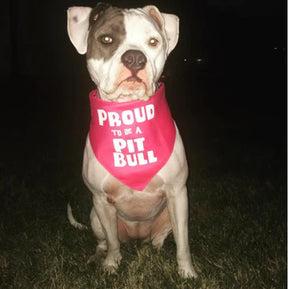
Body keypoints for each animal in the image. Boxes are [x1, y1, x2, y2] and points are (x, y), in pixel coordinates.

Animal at [67, 2, 198, 276]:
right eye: (106, 39)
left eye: (153, 42)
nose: (135, 58)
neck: (129, 114)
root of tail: (138, 239)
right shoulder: (101, 200)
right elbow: (113, 243)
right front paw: (111, 265)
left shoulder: (178, 194)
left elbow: (183, 243)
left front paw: (187, 272)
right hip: (95, 216)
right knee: (104, 240)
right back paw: (98, 257)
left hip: (168, 215)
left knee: (161, 237)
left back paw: (156, 250)